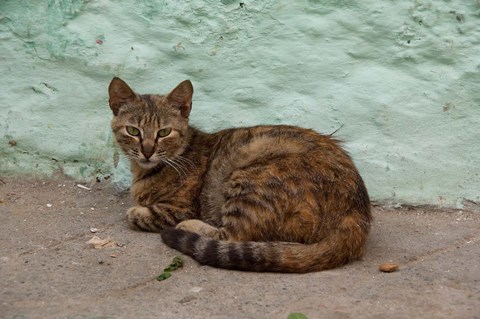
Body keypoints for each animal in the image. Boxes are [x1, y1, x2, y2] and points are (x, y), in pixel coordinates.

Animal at [108, 77, 372, 272]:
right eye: (133, 131)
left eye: (164, 132)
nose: (147, 151)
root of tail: (355, 213)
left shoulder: (179, 208)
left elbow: (137, 214)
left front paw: (139, 212)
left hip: (250, 177)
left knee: (235, 237)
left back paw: (190, 227)